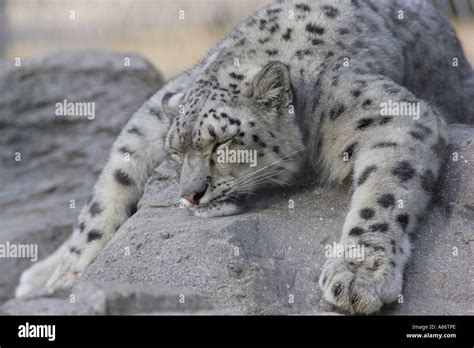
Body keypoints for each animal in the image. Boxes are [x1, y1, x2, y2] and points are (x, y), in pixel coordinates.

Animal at [16, 0, 472, 316]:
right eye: (177, 151)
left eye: (222, 144)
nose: (189, 195)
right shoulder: (151, 116)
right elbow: (106, 193)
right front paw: (68, 276)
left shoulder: (390, 114)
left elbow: (383, 197)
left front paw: (358, 276)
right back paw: (36, 276)